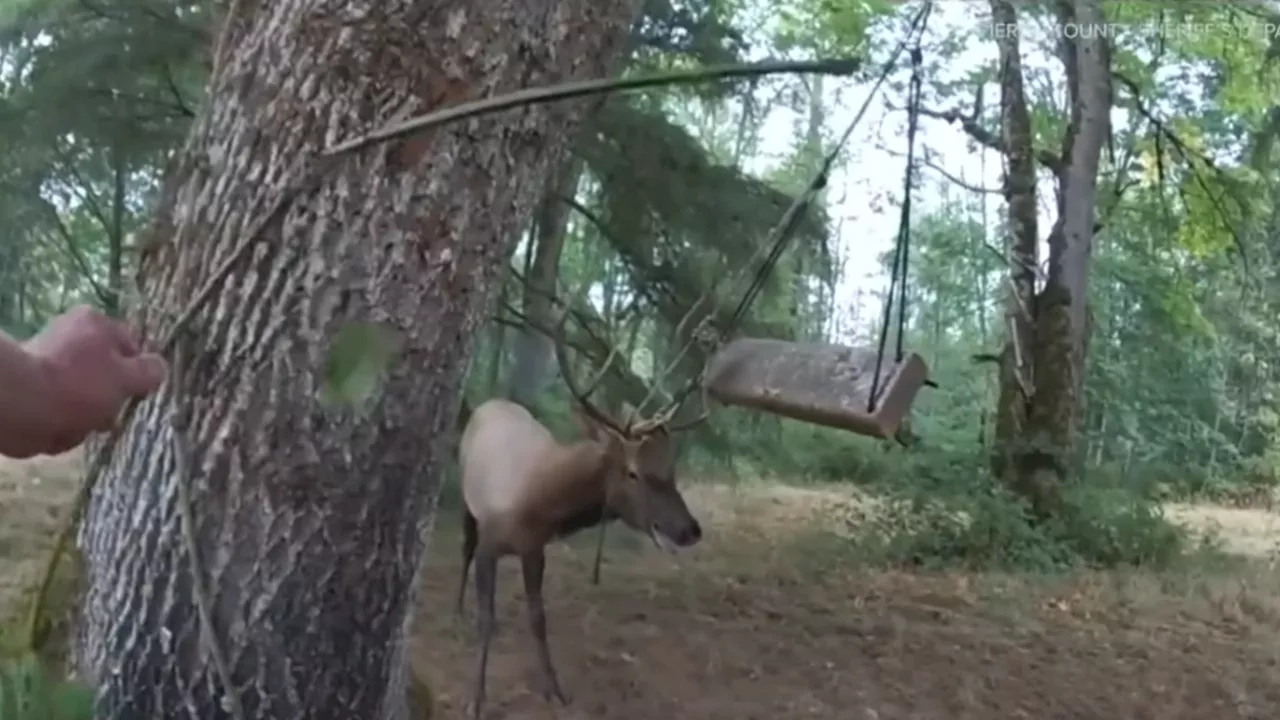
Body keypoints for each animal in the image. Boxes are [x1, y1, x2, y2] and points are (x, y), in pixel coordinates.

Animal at [455, 312, 706, 717]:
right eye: (633, 472)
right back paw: (457, 610)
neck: (535, 501)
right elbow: (486, 618)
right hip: (465, 496)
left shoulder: (534, 548)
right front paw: (475, 699)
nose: (690, 529)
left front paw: (554, 689)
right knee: (464, 549)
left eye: (672, 470)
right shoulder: (490, 542)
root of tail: (487, 403)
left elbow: (538, 618)